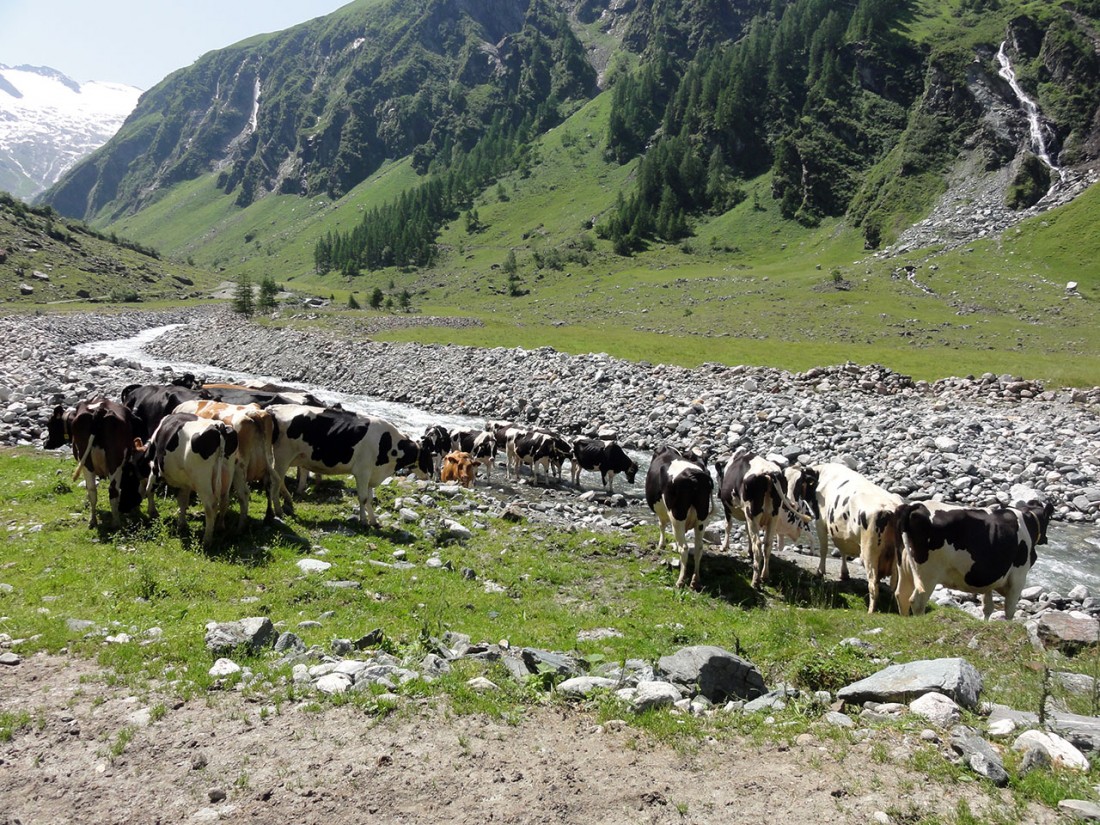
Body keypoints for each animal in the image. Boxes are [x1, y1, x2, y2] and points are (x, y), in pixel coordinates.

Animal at [137, 413, 243, 550]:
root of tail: (219, 426)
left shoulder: (156, 469)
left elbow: (150, 489)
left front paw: (153, 512)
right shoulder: (186, 482)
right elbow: (183, 501)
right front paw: (181, 523)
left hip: (202, 480)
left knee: (211, 506)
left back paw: (206, 541)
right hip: (227, 472)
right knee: (224, 500)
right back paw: (220, 527)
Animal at [266, 407, 429, 530]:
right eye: (429, 456)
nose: (429, 476)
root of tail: (274, 409)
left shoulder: (371, 474)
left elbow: (370, 499)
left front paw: (374, 521)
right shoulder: (362, 472)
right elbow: (363, 498)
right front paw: (364, 522)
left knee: (279, 481)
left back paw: (288, 501)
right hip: (282, 457)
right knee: (275, 483)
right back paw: (279, 511)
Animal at [642, 446, 712, 589]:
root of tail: (694, 476)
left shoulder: (662, 511)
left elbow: (661, 525)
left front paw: (661, 545)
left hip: (677, 516)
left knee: (684, 548)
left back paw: (680, 581)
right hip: (702, 517)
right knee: (699, 547)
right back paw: (695, 580)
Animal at [787, 466, 906, 616]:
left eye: (798, 483)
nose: (791, 502)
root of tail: (890, 508)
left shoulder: (820, 522)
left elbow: (824, 549)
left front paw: (820, 572)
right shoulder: (840, 532)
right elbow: (842, 550)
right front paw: (844, 573)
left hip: (869, 552)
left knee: (873, 585)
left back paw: (871, 611)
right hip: (897, 558)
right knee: (895, 587)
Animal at [893, 497, 1056, 620]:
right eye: (1048, 519)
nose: (1046, 539)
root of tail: (916, 506)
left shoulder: (989, 578)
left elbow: (988, 607)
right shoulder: (1018, 577)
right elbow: (1010, 610)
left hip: (905, 568)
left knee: (901, 595)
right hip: (928, 573)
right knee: (917, 601)